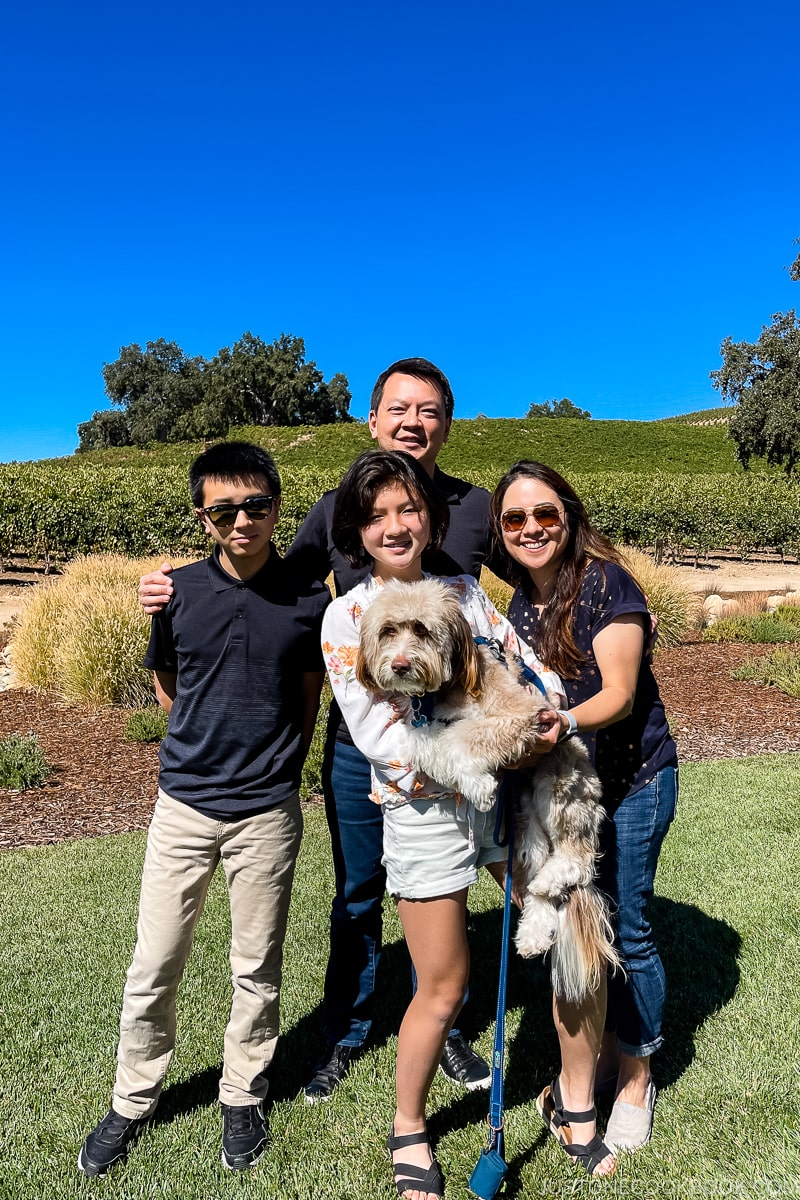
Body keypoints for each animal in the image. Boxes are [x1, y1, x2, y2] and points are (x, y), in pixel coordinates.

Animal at [359, 576, 623, 998]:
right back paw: (533, 933)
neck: (445, 686)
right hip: (525, 826)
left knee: (577, 859)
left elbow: (466, 735)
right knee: (539, 889)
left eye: (421, 629)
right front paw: (474, 780)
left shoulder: (524, 715)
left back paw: (555, 877)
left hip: (559, 787)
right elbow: (427, 743)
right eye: (387, 631)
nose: (400, 665)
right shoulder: (420, 724)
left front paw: (479, 783)